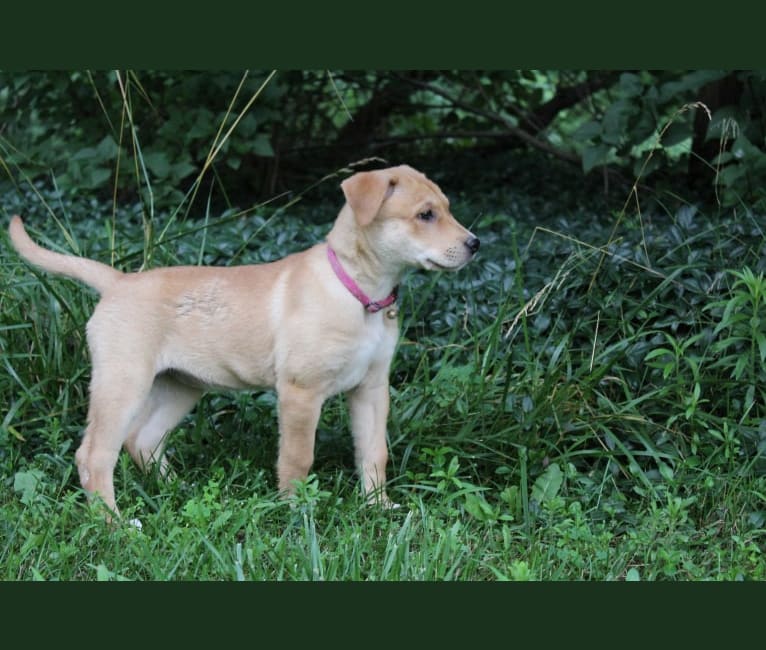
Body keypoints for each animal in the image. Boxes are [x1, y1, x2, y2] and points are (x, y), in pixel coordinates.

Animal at [9, 165, 480, 520]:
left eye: (446, 209)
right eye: (425, 215)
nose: (475, 244)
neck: (359, 290)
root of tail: (118, 281)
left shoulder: (372, 388)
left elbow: (373, 453)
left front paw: (378, 507)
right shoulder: (300, 393)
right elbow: (298, 458)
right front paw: (296, 512)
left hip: (180, 385)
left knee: (142, 440)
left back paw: (180, 490)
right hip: (122, 383)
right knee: (95, 456)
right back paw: (116, 524)